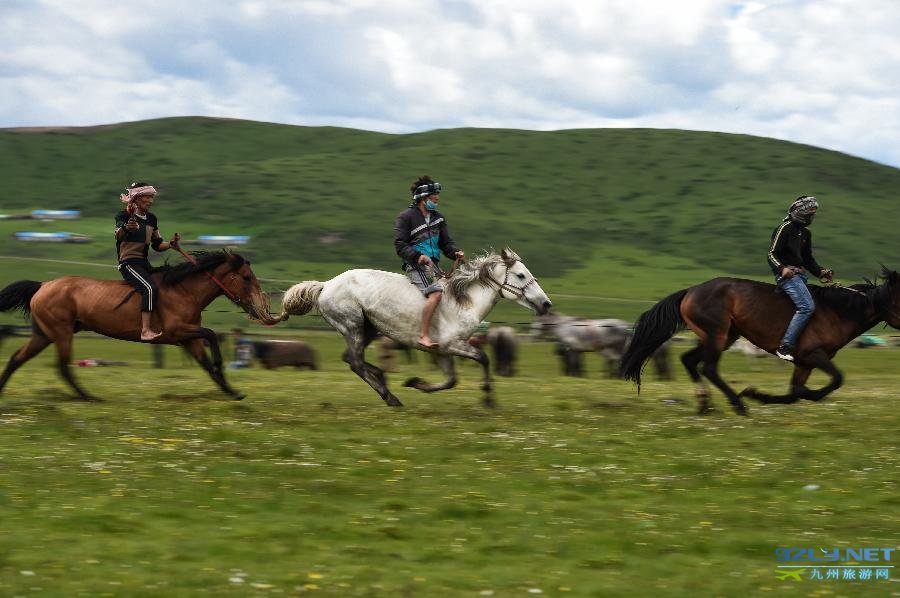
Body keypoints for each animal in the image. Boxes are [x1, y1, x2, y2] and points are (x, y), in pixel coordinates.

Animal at [0, 251, 278, 400]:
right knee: (62, 367)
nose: (259, 307)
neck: (183, 291)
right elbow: (211, 336)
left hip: (44, 334)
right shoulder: (177, 331)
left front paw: (232, 392)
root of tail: (42, 286)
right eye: (246, 277)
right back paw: (90, 397)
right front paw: (223, 368)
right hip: (61, 333)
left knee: (16, 358)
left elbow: (206, 364)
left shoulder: (187, 339)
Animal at [274, 248, 552, 408]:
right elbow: (483, 358)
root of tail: (325, 285)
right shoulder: (453, 345)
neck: (463, 303)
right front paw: (488, 398)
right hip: (353, 326)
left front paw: (415, 382)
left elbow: (450, 380)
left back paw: (383, 378)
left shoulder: (442, 351)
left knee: (352, 359)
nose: (546, 304)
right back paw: (390, 397)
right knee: (354, 362)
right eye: (520, 275)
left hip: (368, 329)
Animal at [620, 272, 900, 418]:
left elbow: (795, 392)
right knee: (708, 368)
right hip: (717, 335)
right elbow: (832, 381)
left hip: (724, 337)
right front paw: (752, 395)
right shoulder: (814, 355)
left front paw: (760, 395)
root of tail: (690, 291)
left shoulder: (804, 364)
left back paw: (704, 404)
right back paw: (738, 405)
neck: (836, 312)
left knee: (689, 360)